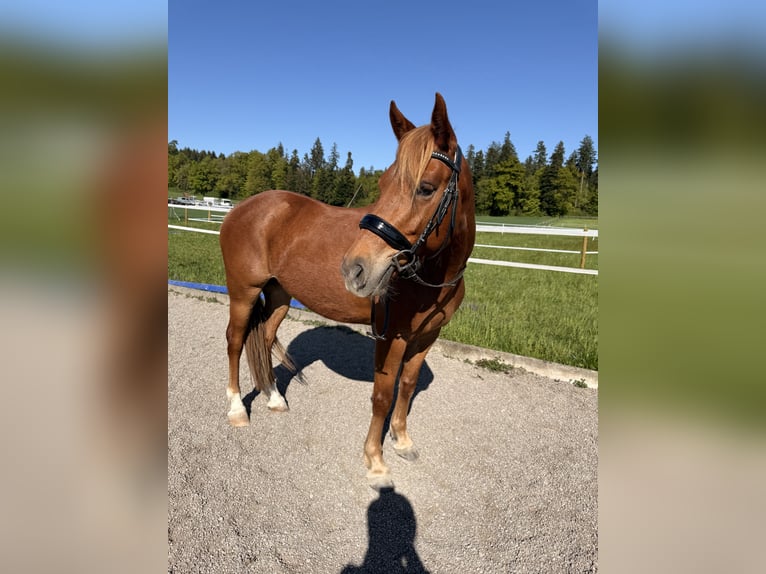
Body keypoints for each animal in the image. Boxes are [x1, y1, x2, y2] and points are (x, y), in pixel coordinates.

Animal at [219, 93, 476, 489]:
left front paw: (402, 441)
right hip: (243, 291)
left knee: (264, 338)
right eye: (383, 185)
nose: (355, 269)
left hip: (279, 295)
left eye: (426, 188)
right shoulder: (393, 336)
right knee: (235, 340)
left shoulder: (426, 336)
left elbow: (407, 385)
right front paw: (376, 461)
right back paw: (236, 408)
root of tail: (241, 208)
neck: (432, 275)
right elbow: (382, 396)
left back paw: (275, 398)